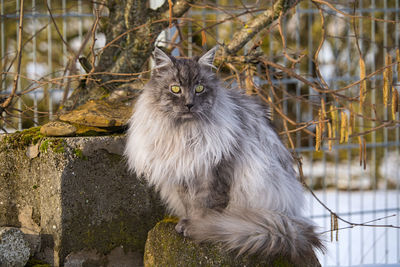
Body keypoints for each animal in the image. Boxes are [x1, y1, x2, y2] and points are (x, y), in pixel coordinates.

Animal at [125, 46, 324, 264]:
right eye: (175, 89)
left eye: (199, 88)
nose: (189, 104)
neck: (185, 132)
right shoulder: (184, 171)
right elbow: (189, 204)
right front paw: (187, 222)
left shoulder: (214, 172)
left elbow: (207, 206)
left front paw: (200, 226)